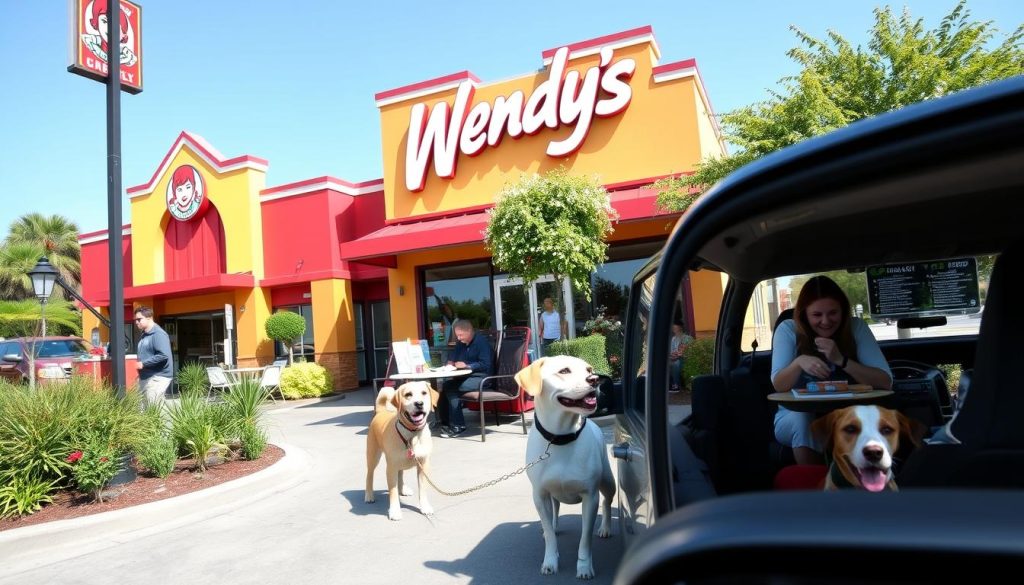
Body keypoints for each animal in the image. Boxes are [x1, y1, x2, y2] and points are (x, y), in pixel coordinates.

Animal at [366, 385, 434, 522]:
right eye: (408, 395)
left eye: (424, 393)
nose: (419, 403)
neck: (413, 434)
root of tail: (381, 411)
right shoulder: (391, 468)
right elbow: (392, 491)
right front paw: (395, 511)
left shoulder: (423, 465)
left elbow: (422, 488)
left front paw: (425, 507)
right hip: (373, 456)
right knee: (369, 474)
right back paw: (369, 495)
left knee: (400, 473)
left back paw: (402, 489)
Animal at [512, 354, 614, 577]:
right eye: (564, 371)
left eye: (588, 369)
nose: (594, 379)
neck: (559, 438)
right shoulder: (540, 495)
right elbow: (550, 533)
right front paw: (550, 560)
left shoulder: (590, 496)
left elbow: (585, 537)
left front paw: (584, 566)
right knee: (554, 509)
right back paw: (552, 524)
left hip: (608, 482)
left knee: (607, 502)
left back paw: (605, 528)